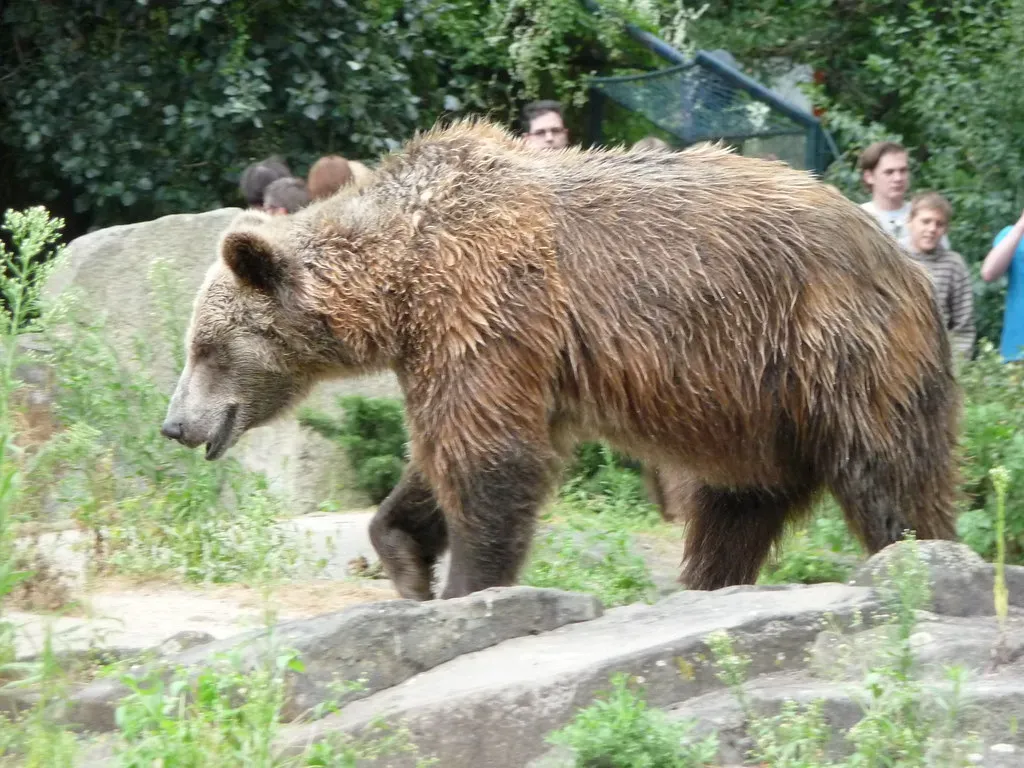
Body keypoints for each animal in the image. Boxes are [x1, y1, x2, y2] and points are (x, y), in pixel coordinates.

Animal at [161, 117, 961, 602]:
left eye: (206, 347)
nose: (175, 423)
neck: (402, 274)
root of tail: (906, 264)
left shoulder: (489, 301)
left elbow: (489, 457)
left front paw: (467, 586)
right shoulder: (486, 346)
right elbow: (451, 452)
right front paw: (407, 552)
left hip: (834, 347)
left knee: (890, 478)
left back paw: (922, 562)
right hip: (755, 409)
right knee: (736, 505)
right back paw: (708, 584)